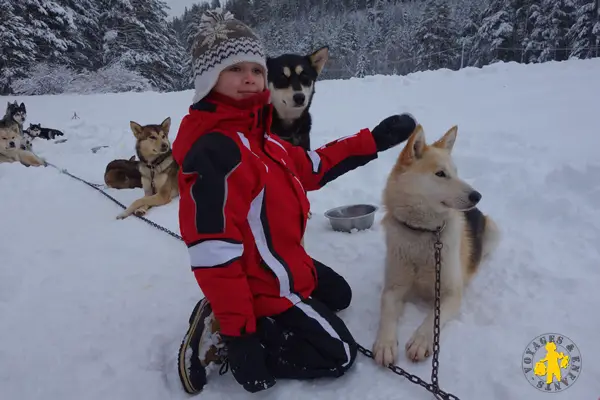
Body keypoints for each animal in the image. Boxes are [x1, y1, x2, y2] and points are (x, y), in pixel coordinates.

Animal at [372, 124, 500, 366]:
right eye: (440, 174)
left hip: (494, 232)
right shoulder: (393, 289)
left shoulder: (450, 294)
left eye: (456, 172)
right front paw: (385, 344)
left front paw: (421, 341)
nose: (477, 195)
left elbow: (433, 318)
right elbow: (386, 312)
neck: (422, 234)